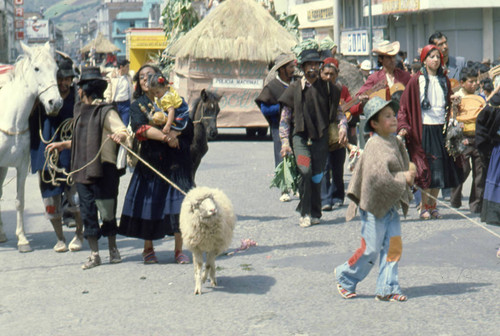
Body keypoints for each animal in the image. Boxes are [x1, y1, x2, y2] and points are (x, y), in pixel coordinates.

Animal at [0, 42, 62, 252]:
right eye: (36, 68)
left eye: (56, 69)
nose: (55, 102)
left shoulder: (20, 165)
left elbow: (19, 201)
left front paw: (23, 239)